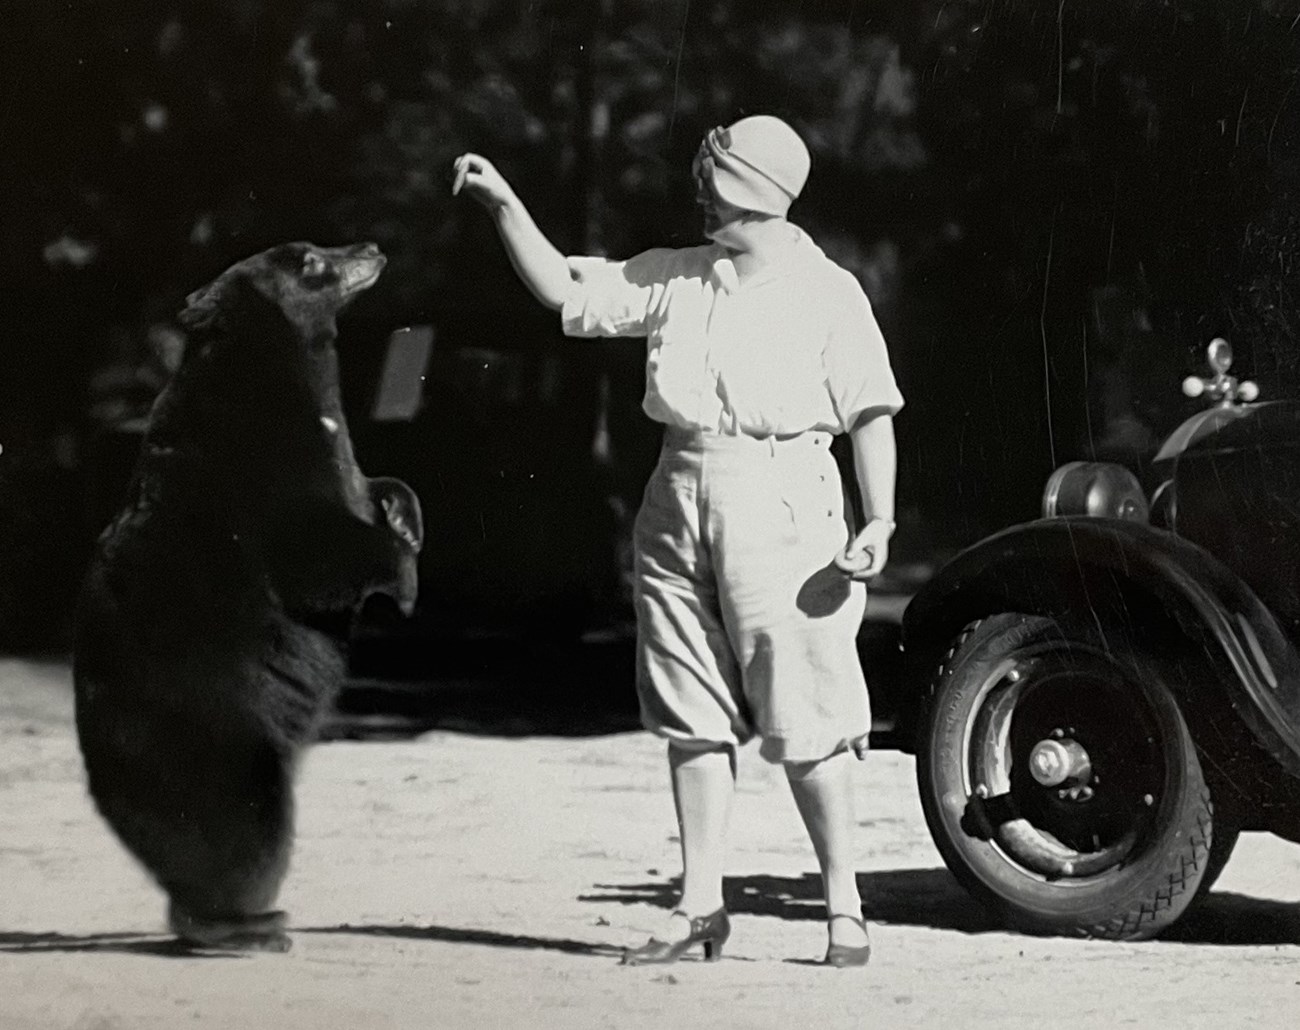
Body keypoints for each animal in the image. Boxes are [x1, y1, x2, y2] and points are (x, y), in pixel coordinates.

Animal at [71, 241, 423, 951]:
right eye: (309, 260)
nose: (371, 248)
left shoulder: (335, 446)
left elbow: (375, 482)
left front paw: (407, 519)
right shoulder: (258, 471)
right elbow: (315, 551)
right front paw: (402, 580)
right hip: (218, 743)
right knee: (243, 835)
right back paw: (249, 926)